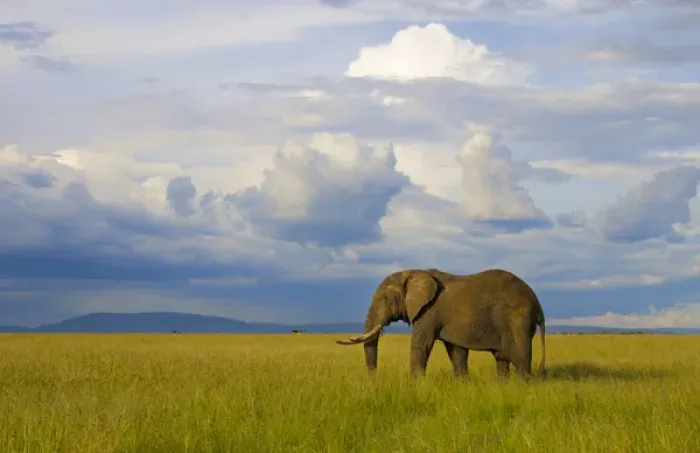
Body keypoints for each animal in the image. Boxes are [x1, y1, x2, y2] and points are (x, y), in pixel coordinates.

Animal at [336, 268, 546, 380]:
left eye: (385, 298)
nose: (373, 380)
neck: (413, 272)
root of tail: (537, 299)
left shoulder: (428, 311)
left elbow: (421, 344)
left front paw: (415, 386)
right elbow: (456, 351)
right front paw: (462, 384)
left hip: (517, 317)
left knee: (520, 356)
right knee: (501, 358)